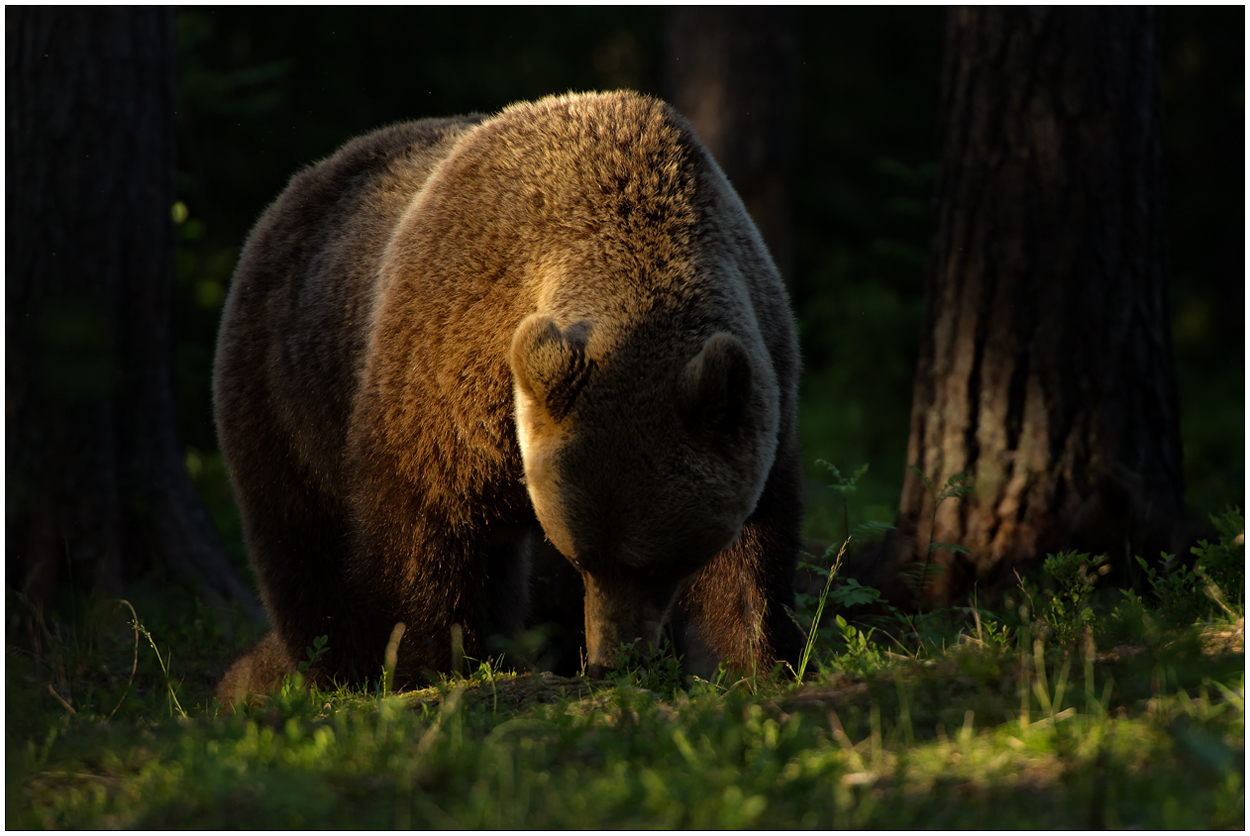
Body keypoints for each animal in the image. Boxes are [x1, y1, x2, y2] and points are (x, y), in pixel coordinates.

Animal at [212, 91, 800, 704]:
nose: (613, 660)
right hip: (290, 383)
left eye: (654, 562)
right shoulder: (447, 364)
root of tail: (300, 184)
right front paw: (429, 664)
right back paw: (332, 670)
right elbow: (424, 531)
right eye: (582, 558)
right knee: (305, 548)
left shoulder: (764, 380)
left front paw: (754, 661)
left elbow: (750, 557)